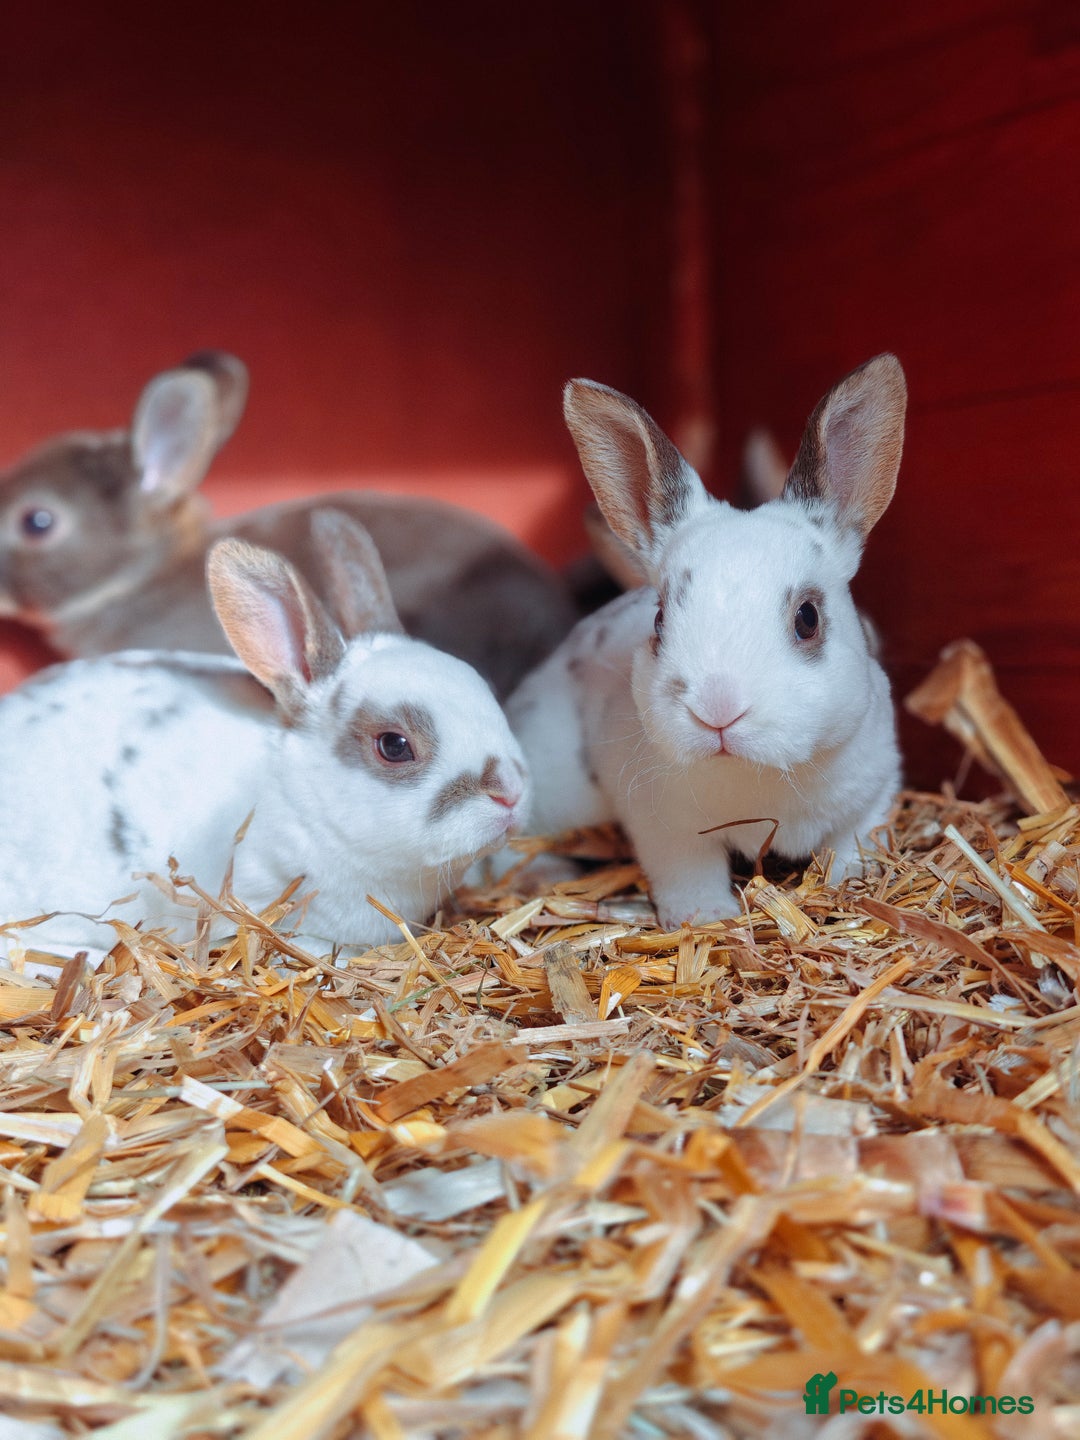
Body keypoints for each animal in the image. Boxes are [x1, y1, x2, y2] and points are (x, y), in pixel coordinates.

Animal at [506, 354, 906, 929]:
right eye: (658, 620)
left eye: (807, 618)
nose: (718, 709)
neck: (758, 777)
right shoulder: (667, 831)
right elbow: (688, 874)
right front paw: (707, 917)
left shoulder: (874, 795)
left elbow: (853, 845)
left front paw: (850, 886)